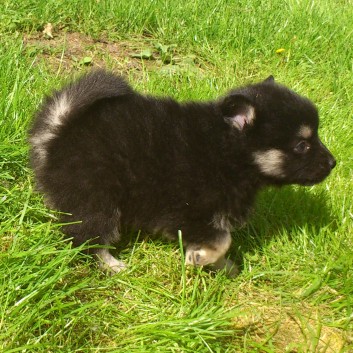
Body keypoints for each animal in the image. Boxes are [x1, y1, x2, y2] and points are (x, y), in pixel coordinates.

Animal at [28, 70, 334, 276]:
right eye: (302, 145)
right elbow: (223, 239)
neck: (225, 150)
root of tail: (58, 134)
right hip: (98, 197)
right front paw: (200, 259)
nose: (333, 163)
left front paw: (221, 265)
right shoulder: (190, 210)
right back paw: (112, 264)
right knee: (86, 236)